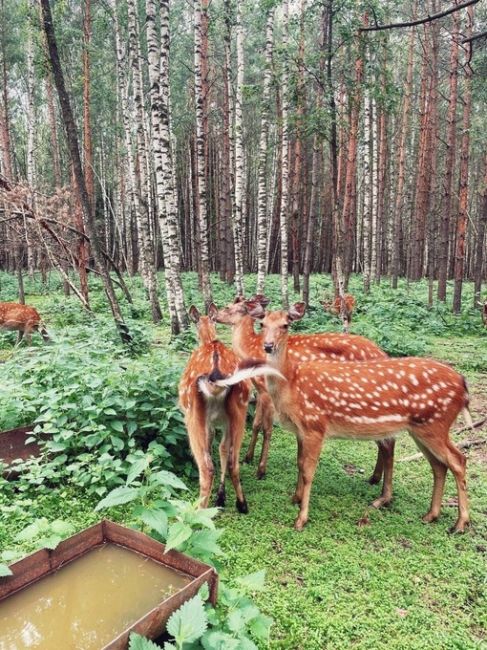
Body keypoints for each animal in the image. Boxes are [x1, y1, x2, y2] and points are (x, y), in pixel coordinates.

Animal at [178, 304, 282, 512]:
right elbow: (223, 449)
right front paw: (221, 496)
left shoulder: (209, 422)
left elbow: (212, 444)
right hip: (239, 409)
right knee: (234, 458)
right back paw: (242, 504)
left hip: (192, 415)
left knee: (206, 467)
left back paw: (199, 512)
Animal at [215, 294, 394, 506]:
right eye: (262, 323)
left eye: (228, 307)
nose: (213, 314)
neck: (250, 349)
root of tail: (383, 353)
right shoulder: (260, 391)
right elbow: (258, 424)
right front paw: (248, 458)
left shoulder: (267, 393)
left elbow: (265, 428)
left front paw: (260, 469)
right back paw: (374, 479)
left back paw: (381, 493)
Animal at [250, 302, 470, 536]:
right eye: (262, 324)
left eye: (285, 325)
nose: (268, 346)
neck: (291, 384)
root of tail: (463, 385)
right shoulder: (301, 430)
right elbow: (299, 464)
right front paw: (295, 498)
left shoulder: (315, 425)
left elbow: (309, 471)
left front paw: (301, 519)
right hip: (421, 428)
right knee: (439, 465)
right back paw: (431, 515)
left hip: (436, 424)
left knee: (458, 460)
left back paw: (460, 523)